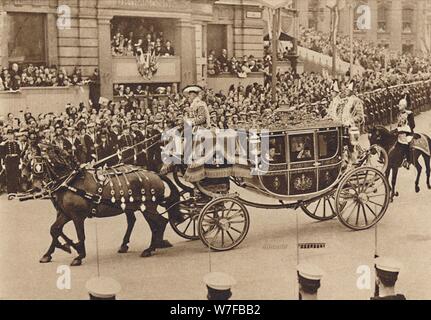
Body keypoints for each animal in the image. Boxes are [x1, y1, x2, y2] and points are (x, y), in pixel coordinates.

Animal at [34, 144, 182, 266]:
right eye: (32, 163)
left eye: (39, 164)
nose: (37, 186)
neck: (71, 181)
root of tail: (155, 174)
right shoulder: (64, 213)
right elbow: (54, 230)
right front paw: (53, 252)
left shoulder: (77, 216)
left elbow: (80, 235)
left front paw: (78, 254)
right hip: (138, 208)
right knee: (145, 223)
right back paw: (149, 244)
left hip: (148, 207)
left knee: (160, 222)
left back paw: (152, 247)